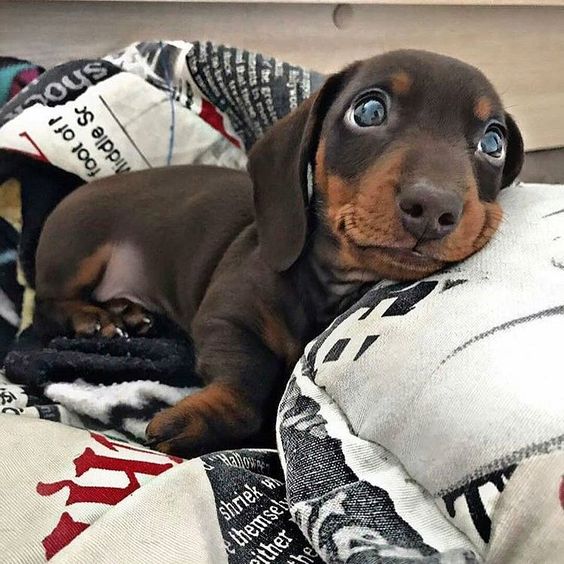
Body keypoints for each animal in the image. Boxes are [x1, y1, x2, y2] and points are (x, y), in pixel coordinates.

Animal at [33, 50, 524, 458]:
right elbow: (251, 377)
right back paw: (92, 317)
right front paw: (200, 419)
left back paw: (127, 312)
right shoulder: (225, 317)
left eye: (493, 142)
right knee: (44, 305)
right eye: (369, 111)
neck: (326, 282)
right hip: (78, 248)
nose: (435, 208)